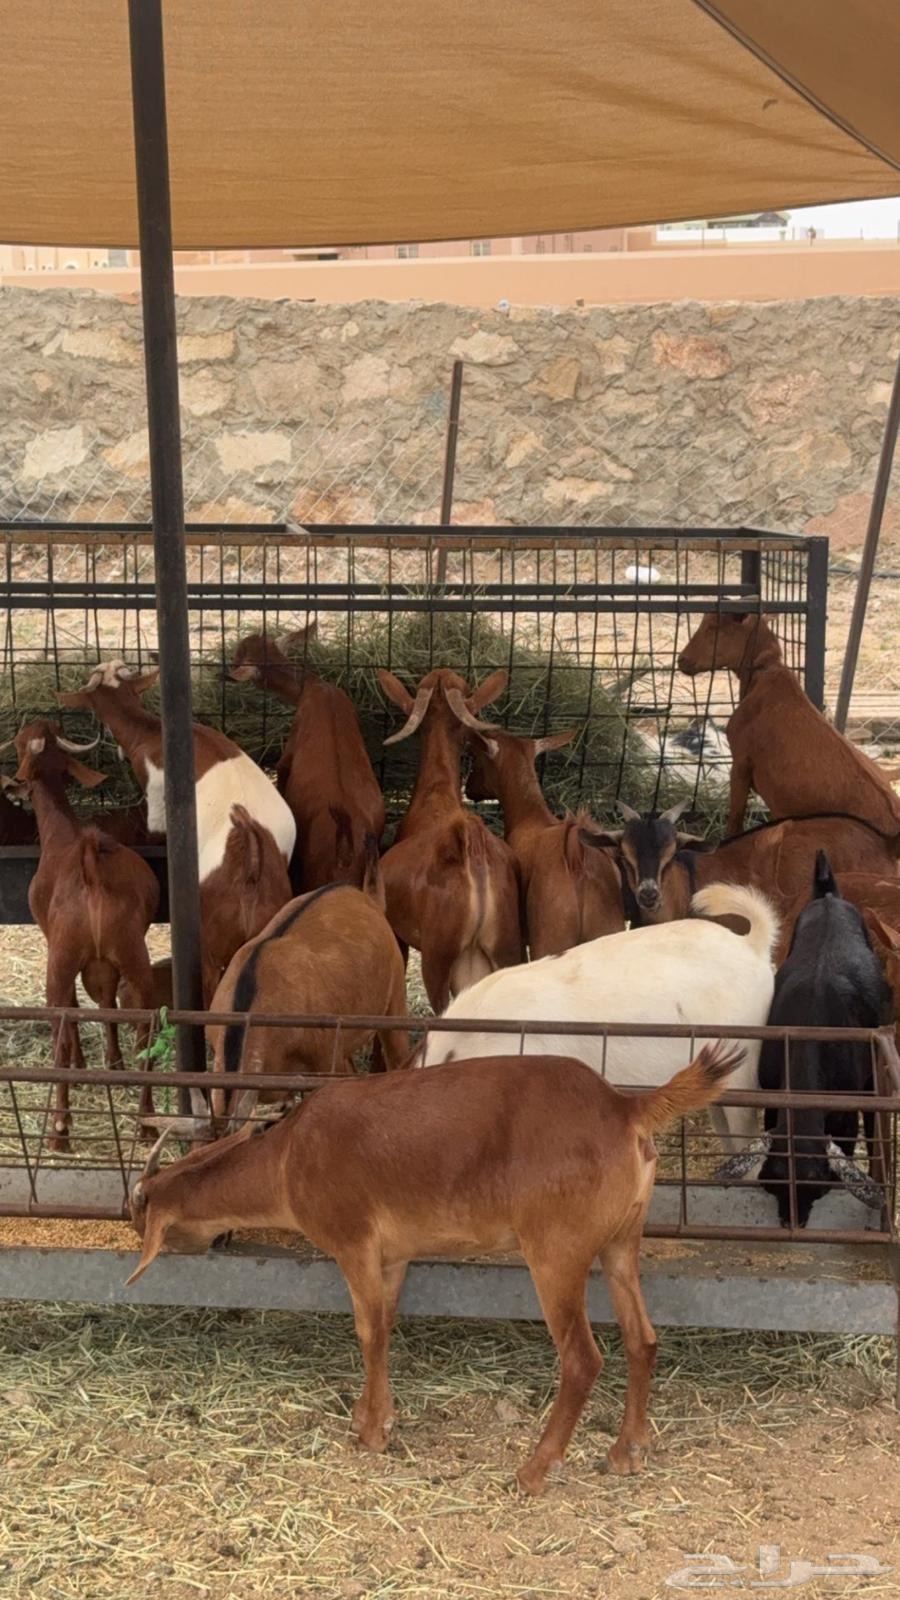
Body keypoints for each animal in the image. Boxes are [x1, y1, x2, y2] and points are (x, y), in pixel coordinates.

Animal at [5, 721, 159, 1149]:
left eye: (20, 746)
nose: (16, 787)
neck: (65, 833)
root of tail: (90, 869)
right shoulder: (104, 964)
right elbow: (106, 1005)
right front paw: (112, 1065)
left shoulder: (54, 944)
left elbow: (74, 1009)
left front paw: (81, 1063)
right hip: (134, 955)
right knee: (146, 1029)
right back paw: (146, 1124)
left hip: (60, 960)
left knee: (59, 1026)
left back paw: (60, 1128)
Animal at [126, 1039, 743, 1493]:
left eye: (142, 1218)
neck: (286, 1156)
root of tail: (624, 1108)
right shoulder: (394, 1255)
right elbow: (385, 1324)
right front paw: (369, 1415)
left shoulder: (352, 1240)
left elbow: (368, 1330)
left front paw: (372, 1434)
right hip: (622, 1241)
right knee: (643, 1338)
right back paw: (626, 1451)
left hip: (556, 1249)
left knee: (582, 1358)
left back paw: (533, 1471)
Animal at [465, 725, 624, 956]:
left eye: (476, 756)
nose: (468, 789)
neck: (530, 816)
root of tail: (576, 856)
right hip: (606, 929)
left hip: (551, 937)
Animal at [744, 853, 889, 1228]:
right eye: (773, 1186)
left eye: (817, 1189)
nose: (791, 1224)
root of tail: (827, 897)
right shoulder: (772, 1097)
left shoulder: (845, 1116)